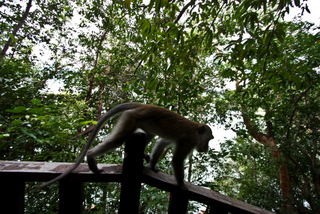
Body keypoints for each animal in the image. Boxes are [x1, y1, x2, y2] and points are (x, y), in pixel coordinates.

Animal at [36, 102, 214, 191]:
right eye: (210, 139)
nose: (206, 148)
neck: (195, 131)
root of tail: (143, 106)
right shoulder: (188, 141)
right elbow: (177, 160)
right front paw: (183, 186)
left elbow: (162, 142)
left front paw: (153, 165)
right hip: (131, 117)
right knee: (118, 139)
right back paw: (91, 157)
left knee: (149, 135)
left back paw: (144, 155)